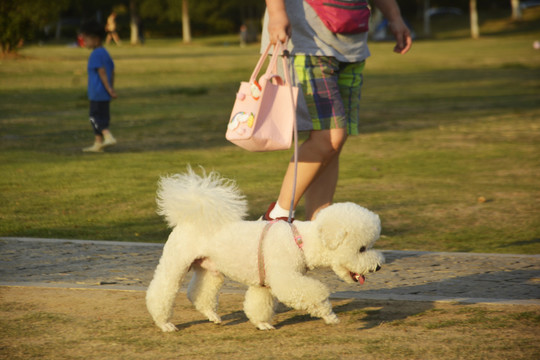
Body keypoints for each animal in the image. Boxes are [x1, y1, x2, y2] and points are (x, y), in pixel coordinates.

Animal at [147, 169, 384, 332]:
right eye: (362, 248)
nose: (378, 266)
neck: (300, 241)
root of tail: (191, 216)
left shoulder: (264, 284)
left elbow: (259, 304)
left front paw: (262, 324)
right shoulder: (286, 280)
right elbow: (316, 295)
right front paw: (330, 315)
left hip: (210, 270)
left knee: (199, 293)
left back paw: (212, 315)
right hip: (176, 264)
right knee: (162, 292)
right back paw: (165, 323)